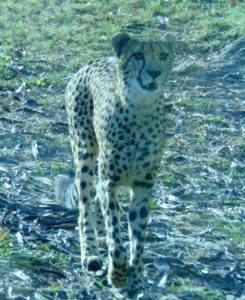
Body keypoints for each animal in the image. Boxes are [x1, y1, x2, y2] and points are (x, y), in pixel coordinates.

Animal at [55, 31, 176, 296]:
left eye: (164, 55)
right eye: (138, 55)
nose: (154, 73)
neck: (141, 109)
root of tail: (93, 61)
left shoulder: (143, 185)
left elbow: (138, 237)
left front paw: (136, 279)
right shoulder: (110, 181)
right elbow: (116, 232)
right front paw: (118, 275)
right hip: (85, 153)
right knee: (86, 206)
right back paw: (91, 253)